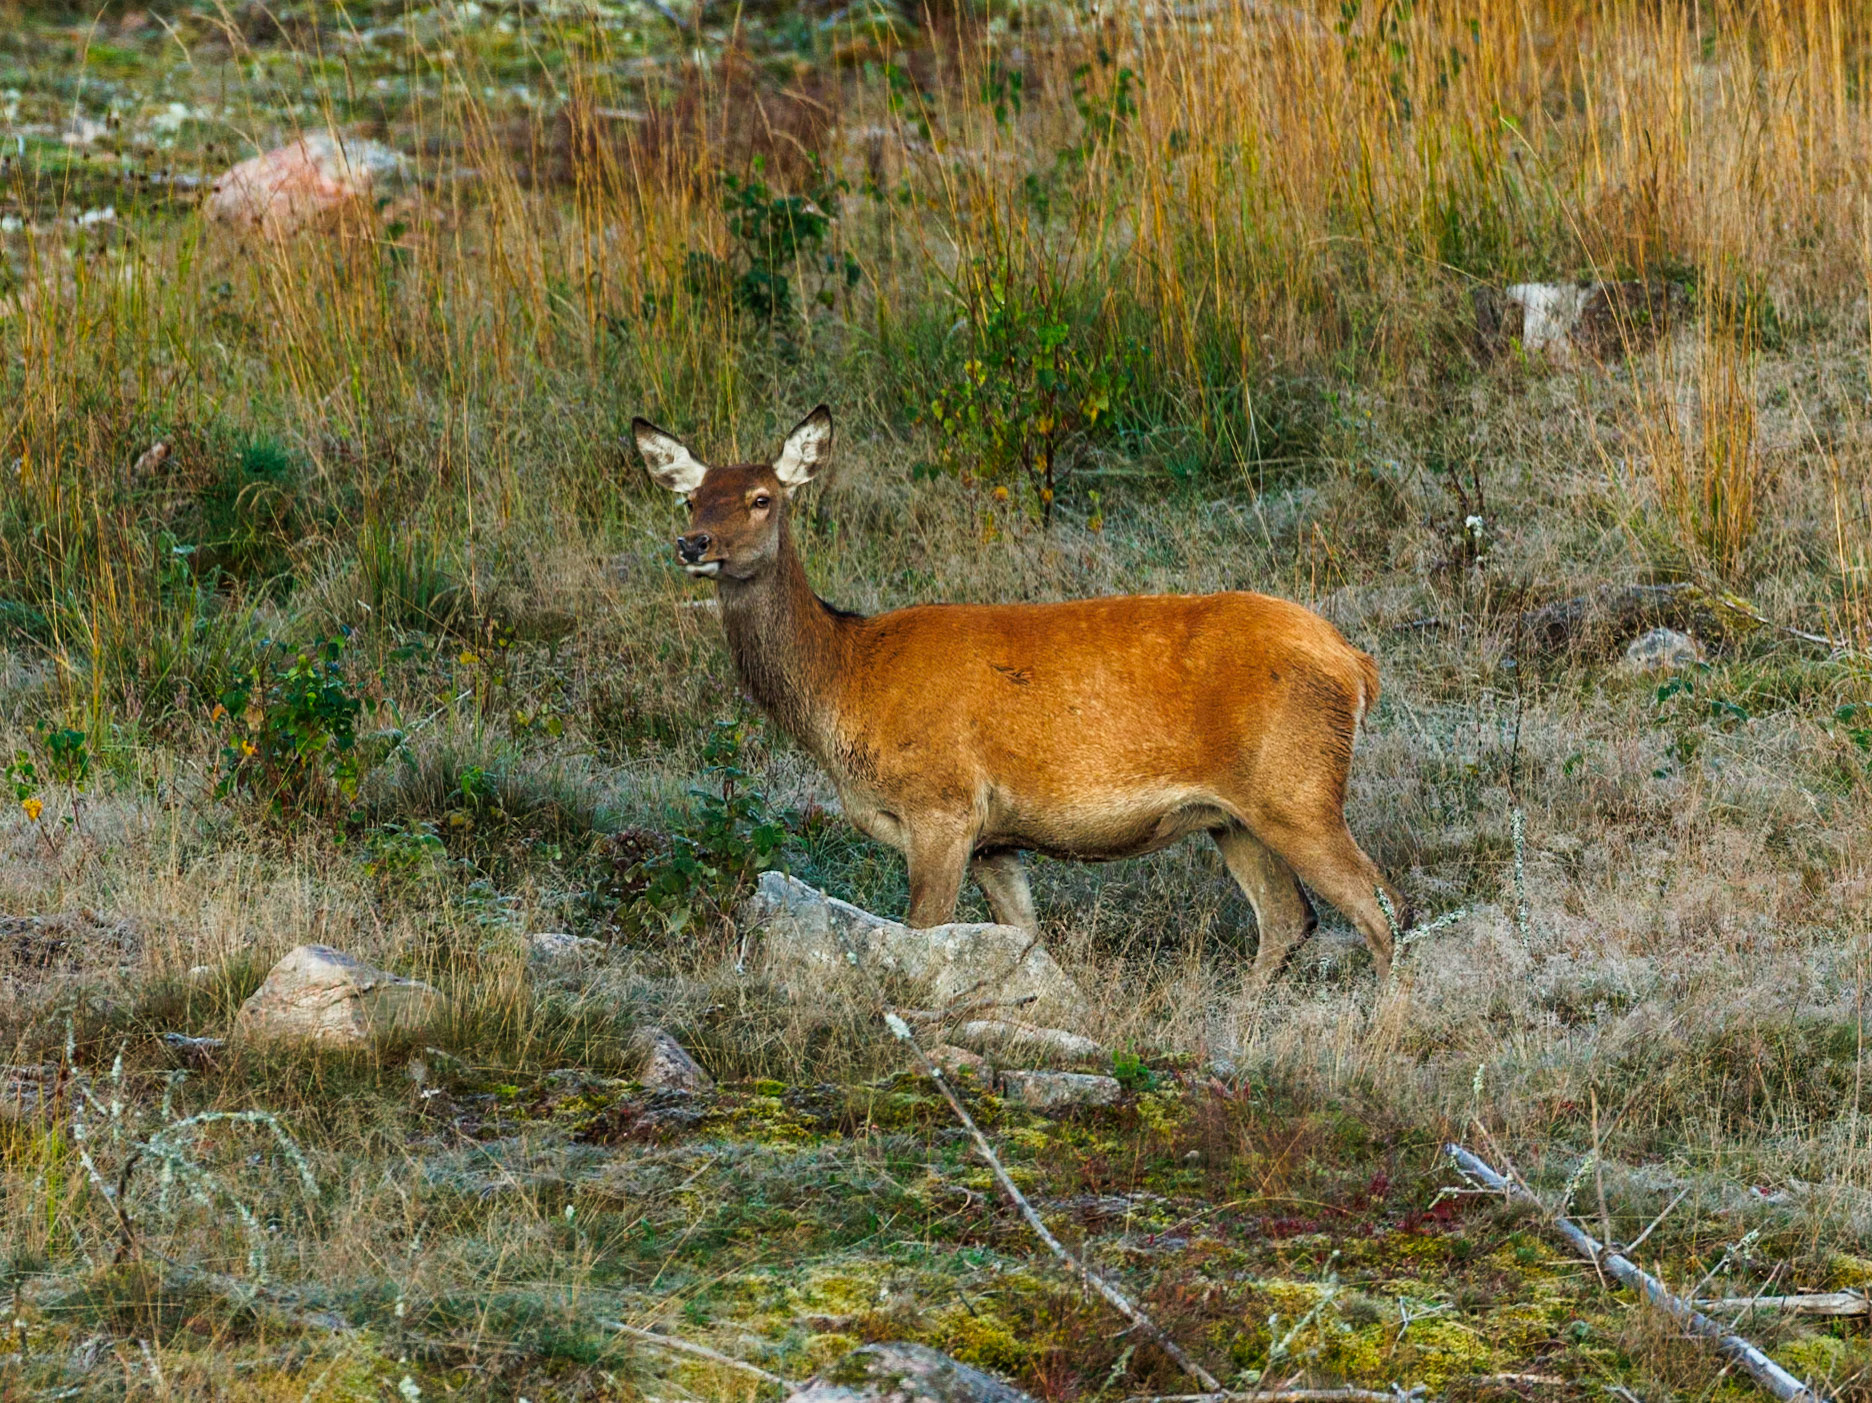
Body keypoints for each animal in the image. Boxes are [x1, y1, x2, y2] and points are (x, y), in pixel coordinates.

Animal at [633, 405, 1412, 981]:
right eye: (691, 496)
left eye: (762, 498)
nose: (693, 544)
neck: (845, 681)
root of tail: (1355, 662)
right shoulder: (995, 840)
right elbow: (1025, 940)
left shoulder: (942, 803)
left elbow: (923, 935)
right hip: (1235, 814)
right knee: (1289, 918)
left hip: (1298, 785)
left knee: (1383, 908)